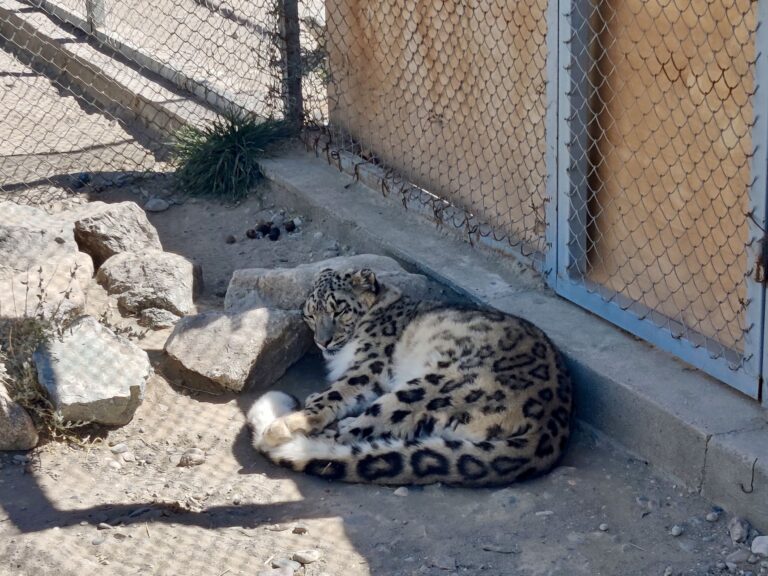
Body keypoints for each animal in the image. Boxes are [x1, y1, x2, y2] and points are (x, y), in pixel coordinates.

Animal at [247, 267, 572, 486]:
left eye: (338, 310)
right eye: (310, 314)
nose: (322, 341)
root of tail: (550, 428)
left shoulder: (369, 365)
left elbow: (337, 393)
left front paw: (303, 412)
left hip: (431, 386)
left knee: (353, 433)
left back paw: (282, 429)